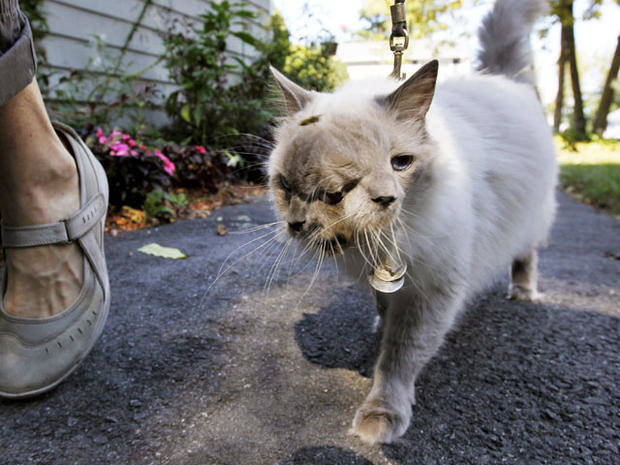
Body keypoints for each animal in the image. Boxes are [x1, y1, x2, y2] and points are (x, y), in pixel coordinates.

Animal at [266, 0, 556, 444]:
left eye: (400, 163)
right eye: (293, 184)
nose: (385, 198)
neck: (378, 242)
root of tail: (501, 77)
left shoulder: (432, 290)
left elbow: (399, 358)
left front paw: (381, 415)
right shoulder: (390, 280)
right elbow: (384, 309)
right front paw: (378, 324)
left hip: (531, 217)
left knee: (527, 253)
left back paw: (523, 291)